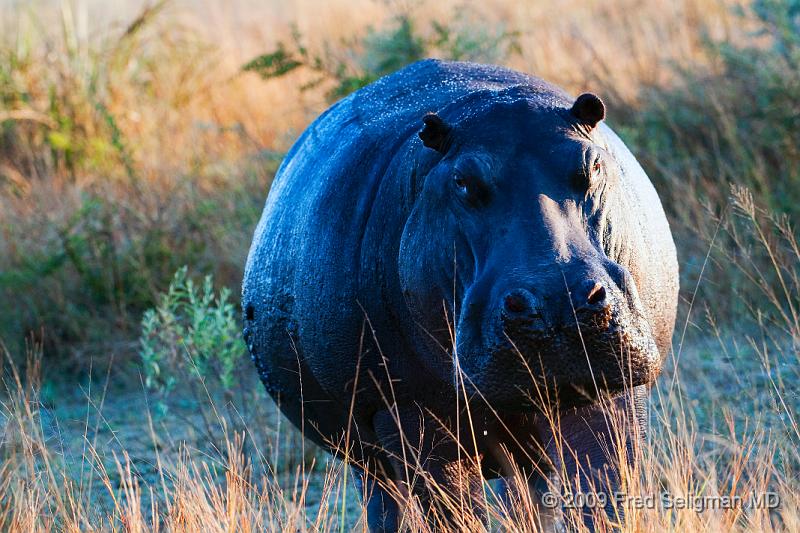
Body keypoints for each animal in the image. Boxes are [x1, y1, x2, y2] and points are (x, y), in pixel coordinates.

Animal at [241, 60, 680, 528]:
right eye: (463, 181)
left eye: (593, 165)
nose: (557, 301)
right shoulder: (413, 415)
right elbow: (451, 514)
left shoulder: (609, 387)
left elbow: (608, 494)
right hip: (369, 449)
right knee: (385, 501)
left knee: (528, 496)